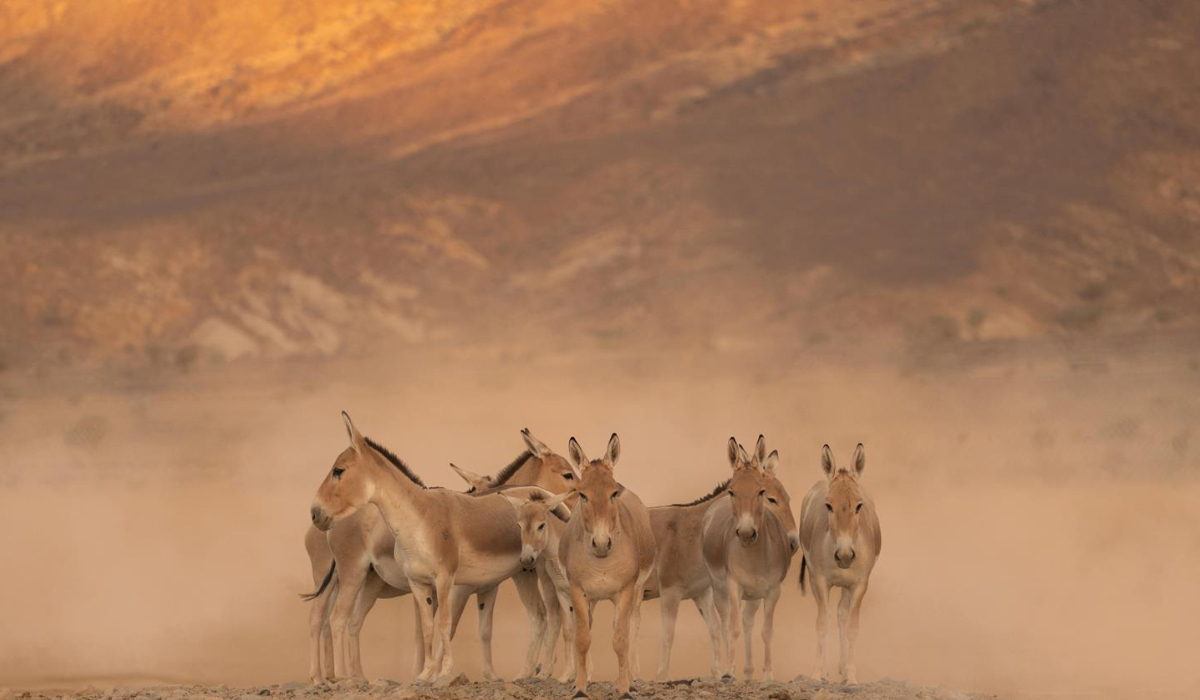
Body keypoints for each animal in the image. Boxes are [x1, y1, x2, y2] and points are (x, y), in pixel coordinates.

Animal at [559, 434, 657, 696]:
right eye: (582, 495)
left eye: (613, 494)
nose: (602, 544)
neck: (602, 562)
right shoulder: (577, 591)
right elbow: (583, 639)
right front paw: (580, 689)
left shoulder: (625, 590)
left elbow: (621, 640)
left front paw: (624, 690)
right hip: (591, 599)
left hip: (637, 593)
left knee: (631, 626)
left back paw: (632, 678)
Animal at [700, 437, 801, 677]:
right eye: (732, 492)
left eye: (761, 492)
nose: (746, 532)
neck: (755, 557)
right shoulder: (734, 586)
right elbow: (733, 628)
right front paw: (729, 671)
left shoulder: (772, 591)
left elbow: (766, 631)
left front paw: (768, 674)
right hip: (720, 590)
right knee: (726, 623)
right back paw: (726, 670)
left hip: (754, 595)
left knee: (747, 622)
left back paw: (747, 671)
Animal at [801, 444, 878, 686]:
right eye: (828, 505)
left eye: (859, 505)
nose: (844, 556)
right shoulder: (819, 580)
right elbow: (821, 624)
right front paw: (816, 674)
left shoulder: (860, 584)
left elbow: (852, 627)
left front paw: (851, 676)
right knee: (827, 614)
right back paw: (827, 670)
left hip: (846, 586)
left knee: (841, 615)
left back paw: (843, 668)